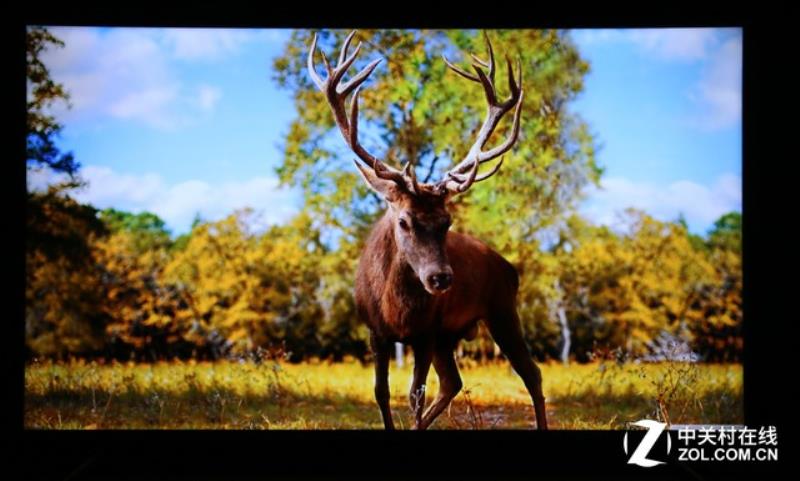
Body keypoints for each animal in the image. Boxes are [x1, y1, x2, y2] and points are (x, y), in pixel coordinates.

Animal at [308, 31, 552, 432]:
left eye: (446, 222)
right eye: (404, 220)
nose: (440, 278)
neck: (396, 310)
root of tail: (508, 266)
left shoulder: (425, 332)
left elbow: (414, 396)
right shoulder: (376, 332)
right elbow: (381, 393)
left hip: (501, 308)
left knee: (531, 373)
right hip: (449, 335)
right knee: (453, 381)